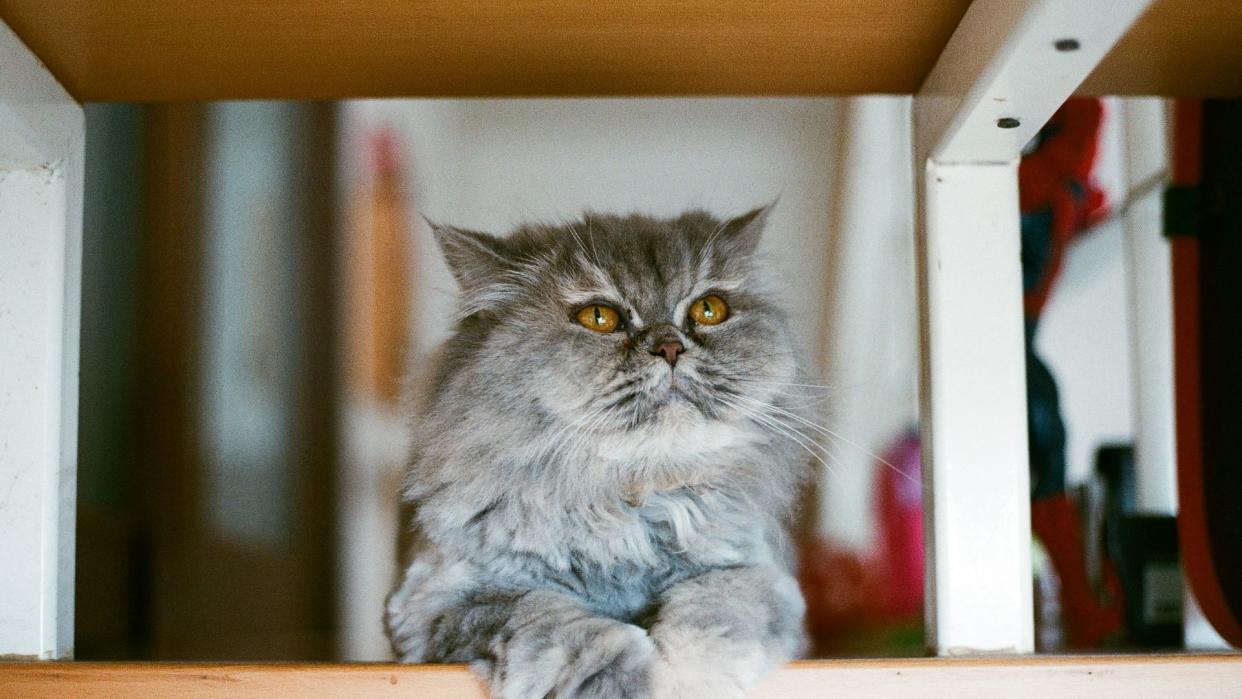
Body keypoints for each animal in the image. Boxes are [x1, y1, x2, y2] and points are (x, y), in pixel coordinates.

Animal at [389, 207, 814, 699]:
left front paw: (688, 678)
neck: (633, 502)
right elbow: (559, 627)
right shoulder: (448, 598)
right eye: (599, 317)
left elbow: (716, 610)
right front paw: (625, 678)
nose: (670, 347)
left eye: (709, 310)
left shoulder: (758, 574)